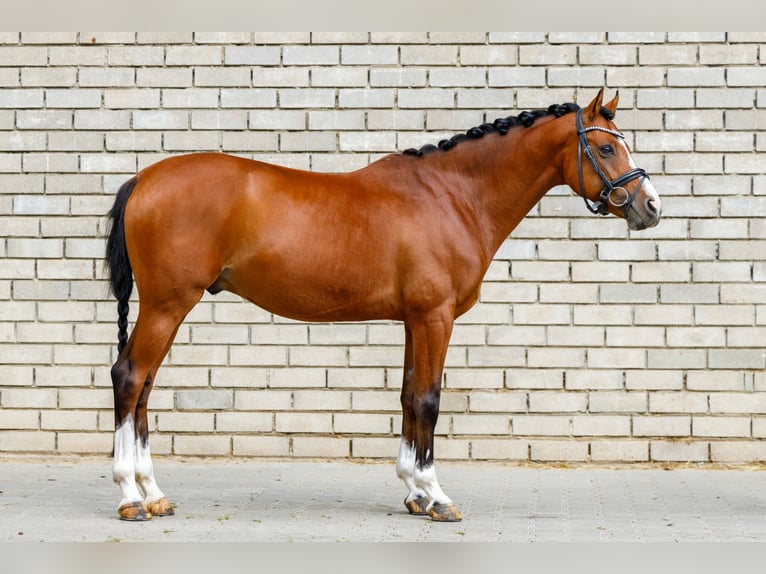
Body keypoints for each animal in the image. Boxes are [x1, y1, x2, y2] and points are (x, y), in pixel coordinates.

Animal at [105, 88, 661, 523]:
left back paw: (154, 495)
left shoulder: (416, 320)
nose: (651, 207)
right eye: (606, 147)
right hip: (168, 304)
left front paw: (415, 491)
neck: (452, 195)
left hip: (168, 307)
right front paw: (437, 496)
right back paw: (131, 495)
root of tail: (144, 179)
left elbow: (409, 397)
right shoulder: (435, 317)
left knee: (144, 386)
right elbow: (430, 400)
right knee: (130, 378)